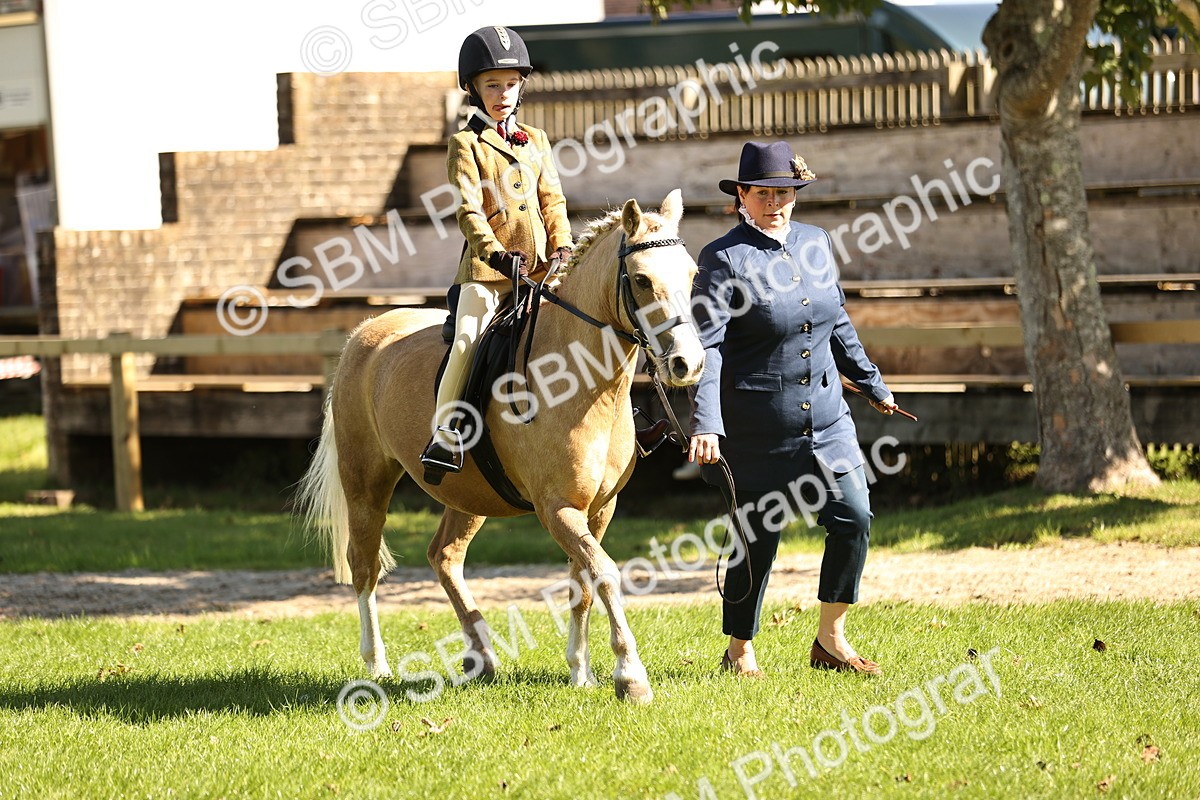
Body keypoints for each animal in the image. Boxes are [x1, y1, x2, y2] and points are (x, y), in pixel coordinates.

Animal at [297, 189, 704, 703]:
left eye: (691, 274)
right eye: (641, 279)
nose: (687, 364)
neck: (584, 382)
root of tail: (365, 331)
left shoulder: (599, 509)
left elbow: (582, 583)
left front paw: (580, 671)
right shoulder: (558, 509)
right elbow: (605, 573)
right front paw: (630, 676)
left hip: (468, 495)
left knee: (444, 556)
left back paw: (482, 656)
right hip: (366, 482)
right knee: (364, 566)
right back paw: (378, 666)